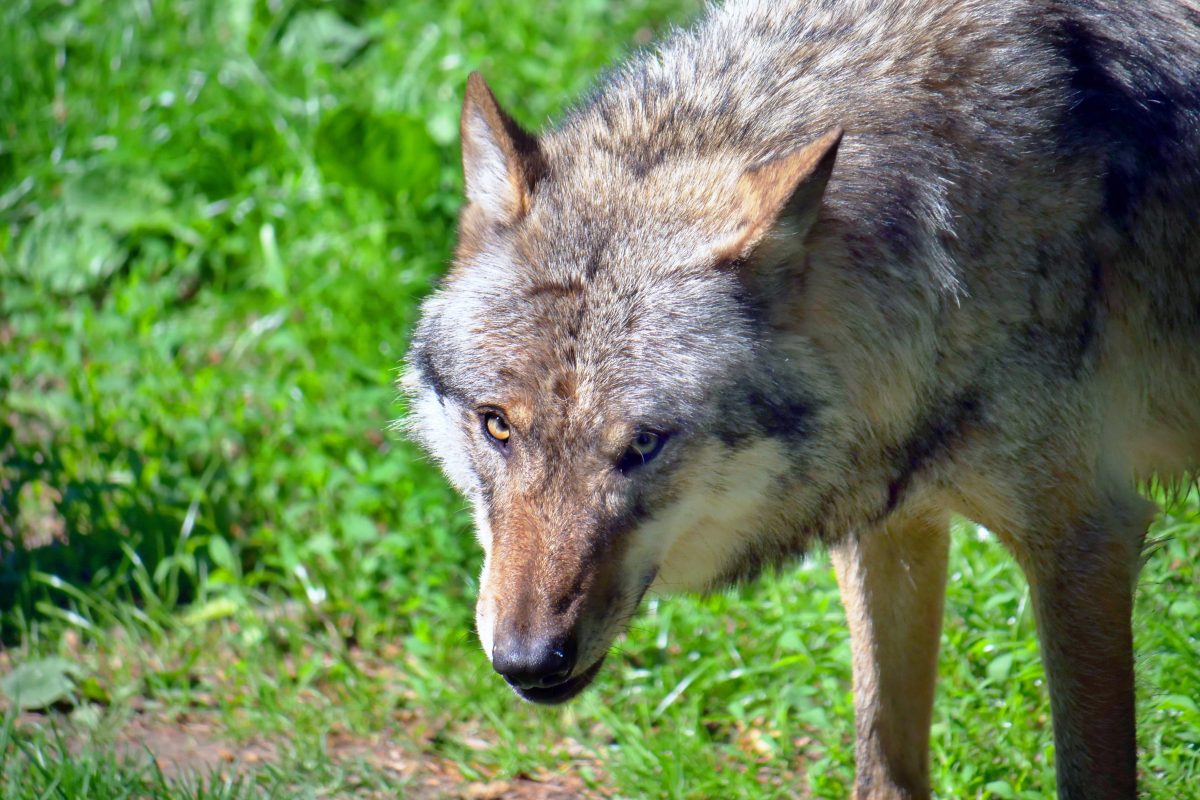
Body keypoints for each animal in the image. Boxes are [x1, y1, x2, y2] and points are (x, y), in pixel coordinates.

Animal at [403, 3, 1200, 796]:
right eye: (496, 426)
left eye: (644, 443)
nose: (529, 661)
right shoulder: (893, 527)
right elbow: (883, 767)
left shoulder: (1083, 541)